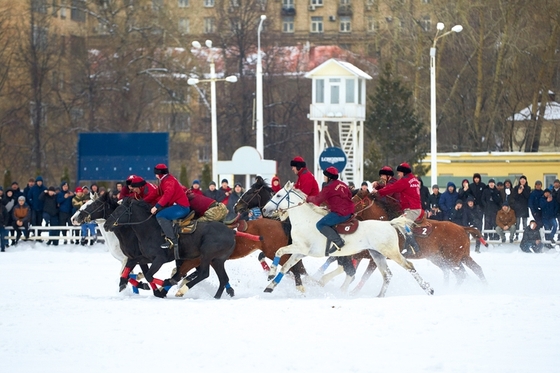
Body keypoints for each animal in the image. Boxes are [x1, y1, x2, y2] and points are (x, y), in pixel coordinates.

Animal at [104, 199, 235, 298]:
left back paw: (180, 289)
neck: (150, 229)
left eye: (119, 211)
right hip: (217, 260)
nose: (106, 225)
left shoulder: (160, 259)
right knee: (223, 278)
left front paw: (164, 284)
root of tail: (231, 232)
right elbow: (130, 267)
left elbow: (149, 275)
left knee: (204, 273)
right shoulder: (145, 257)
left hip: (206, 255)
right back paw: (217, 296)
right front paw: (124, 282)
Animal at [177, 218, 310, 294]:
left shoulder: (199, 260)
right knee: (294, 266)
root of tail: (281, 223)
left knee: (293, 267)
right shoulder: (209, 261)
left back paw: (297, 287)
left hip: (273, 252)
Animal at [260, 181, 436, 296]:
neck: (305, 220)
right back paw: (379, 296)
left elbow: (279, 251)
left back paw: (429, 289)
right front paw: (270, 285)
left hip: (391, 252)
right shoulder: (299, 252)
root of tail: (389, 223)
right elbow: (286, 266)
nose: (264, 210)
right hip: (377, 254)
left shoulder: (301, 248)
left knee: (409, 266)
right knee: (387, 274)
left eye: (279, 194)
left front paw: (270, 273)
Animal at [322, 189, 488, 290]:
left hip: (453, 260)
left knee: (462, 275)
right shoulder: (363, 254)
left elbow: (363, 276)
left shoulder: (372, 258)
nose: (337, 214)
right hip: (454, 258)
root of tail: (462, 228)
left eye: (353, 202)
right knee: (476, 270)